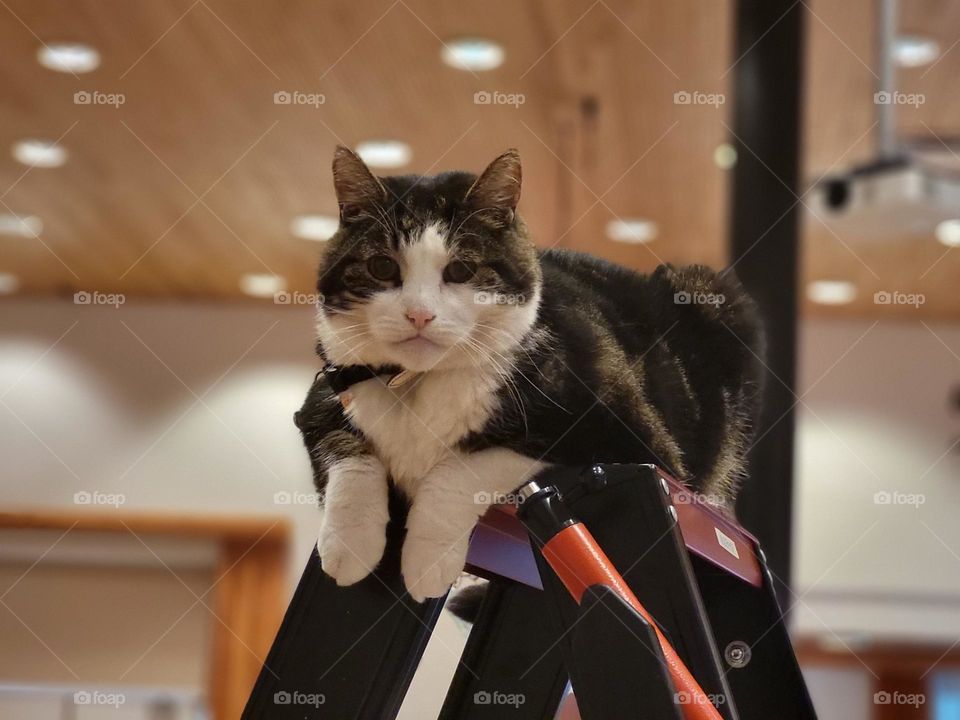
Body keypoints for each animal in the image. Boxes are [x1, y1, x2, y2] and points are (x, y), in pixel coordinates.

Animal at [296, 146, 760, 600]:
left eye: (460, 270)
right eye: (382, 267)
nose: (419, 315)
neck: (419, 382)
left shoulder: (631, 442)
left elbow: (466, 467)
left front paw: (427, 558)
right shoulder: (326, 389)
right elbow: (346, 451)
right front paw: (349, 544)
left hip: (710, 293)